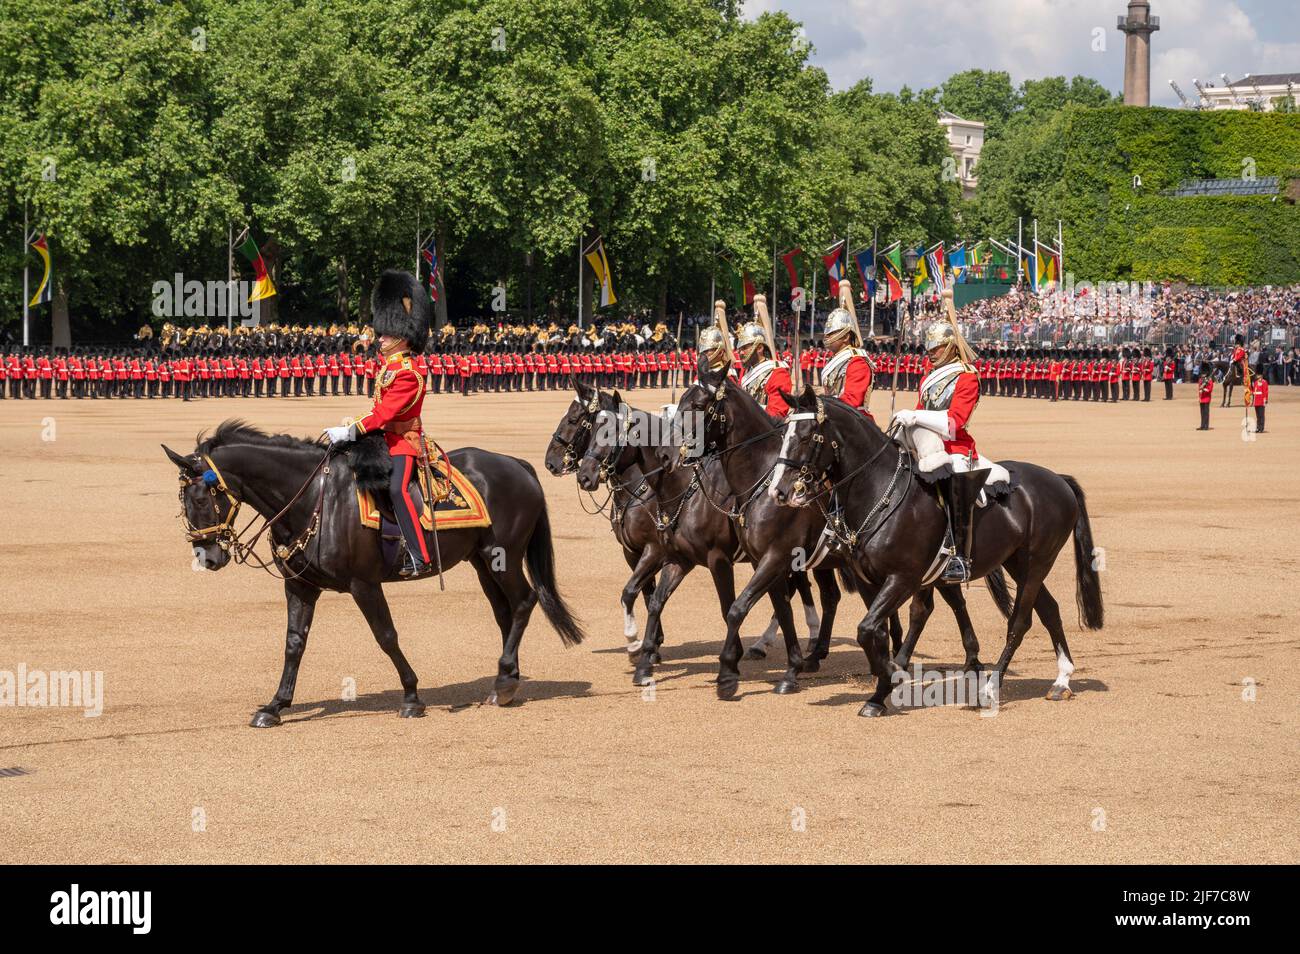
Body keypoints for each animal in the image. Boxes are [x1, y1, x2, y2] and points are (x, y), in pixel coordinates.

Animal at [163, 421, 585, 727]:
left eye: (201, 498)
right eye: (183, 502)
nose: (207, 557)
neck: (311, 498)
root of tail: (518, 464)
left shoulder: (363, 584)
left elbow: (386, 637)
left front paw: (412, 697)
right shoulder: (300, 585)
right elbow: (293, 643)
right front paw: (275, 705)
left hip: (504, 555)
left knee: (524, 602)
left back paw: (504, 679)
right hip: (483, 561)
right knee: (505, 611)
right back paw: (507, 679)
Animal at [769, 387, 1107, 717]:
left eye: (806, 436)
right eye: (783, 434)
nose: (778, 491)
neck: (881, 492)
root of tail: (1058, 479)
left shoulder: (903, 578)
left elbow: (867, 629)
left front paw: (891, 676)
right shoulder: (870, 580)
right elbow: (876, 631)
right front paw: (882, 690)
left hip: (1037, 562)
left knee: (1020, 622)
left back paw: (990, 689)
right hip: (1019, 564)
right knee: (1049, 609)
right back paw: (1061, 680)